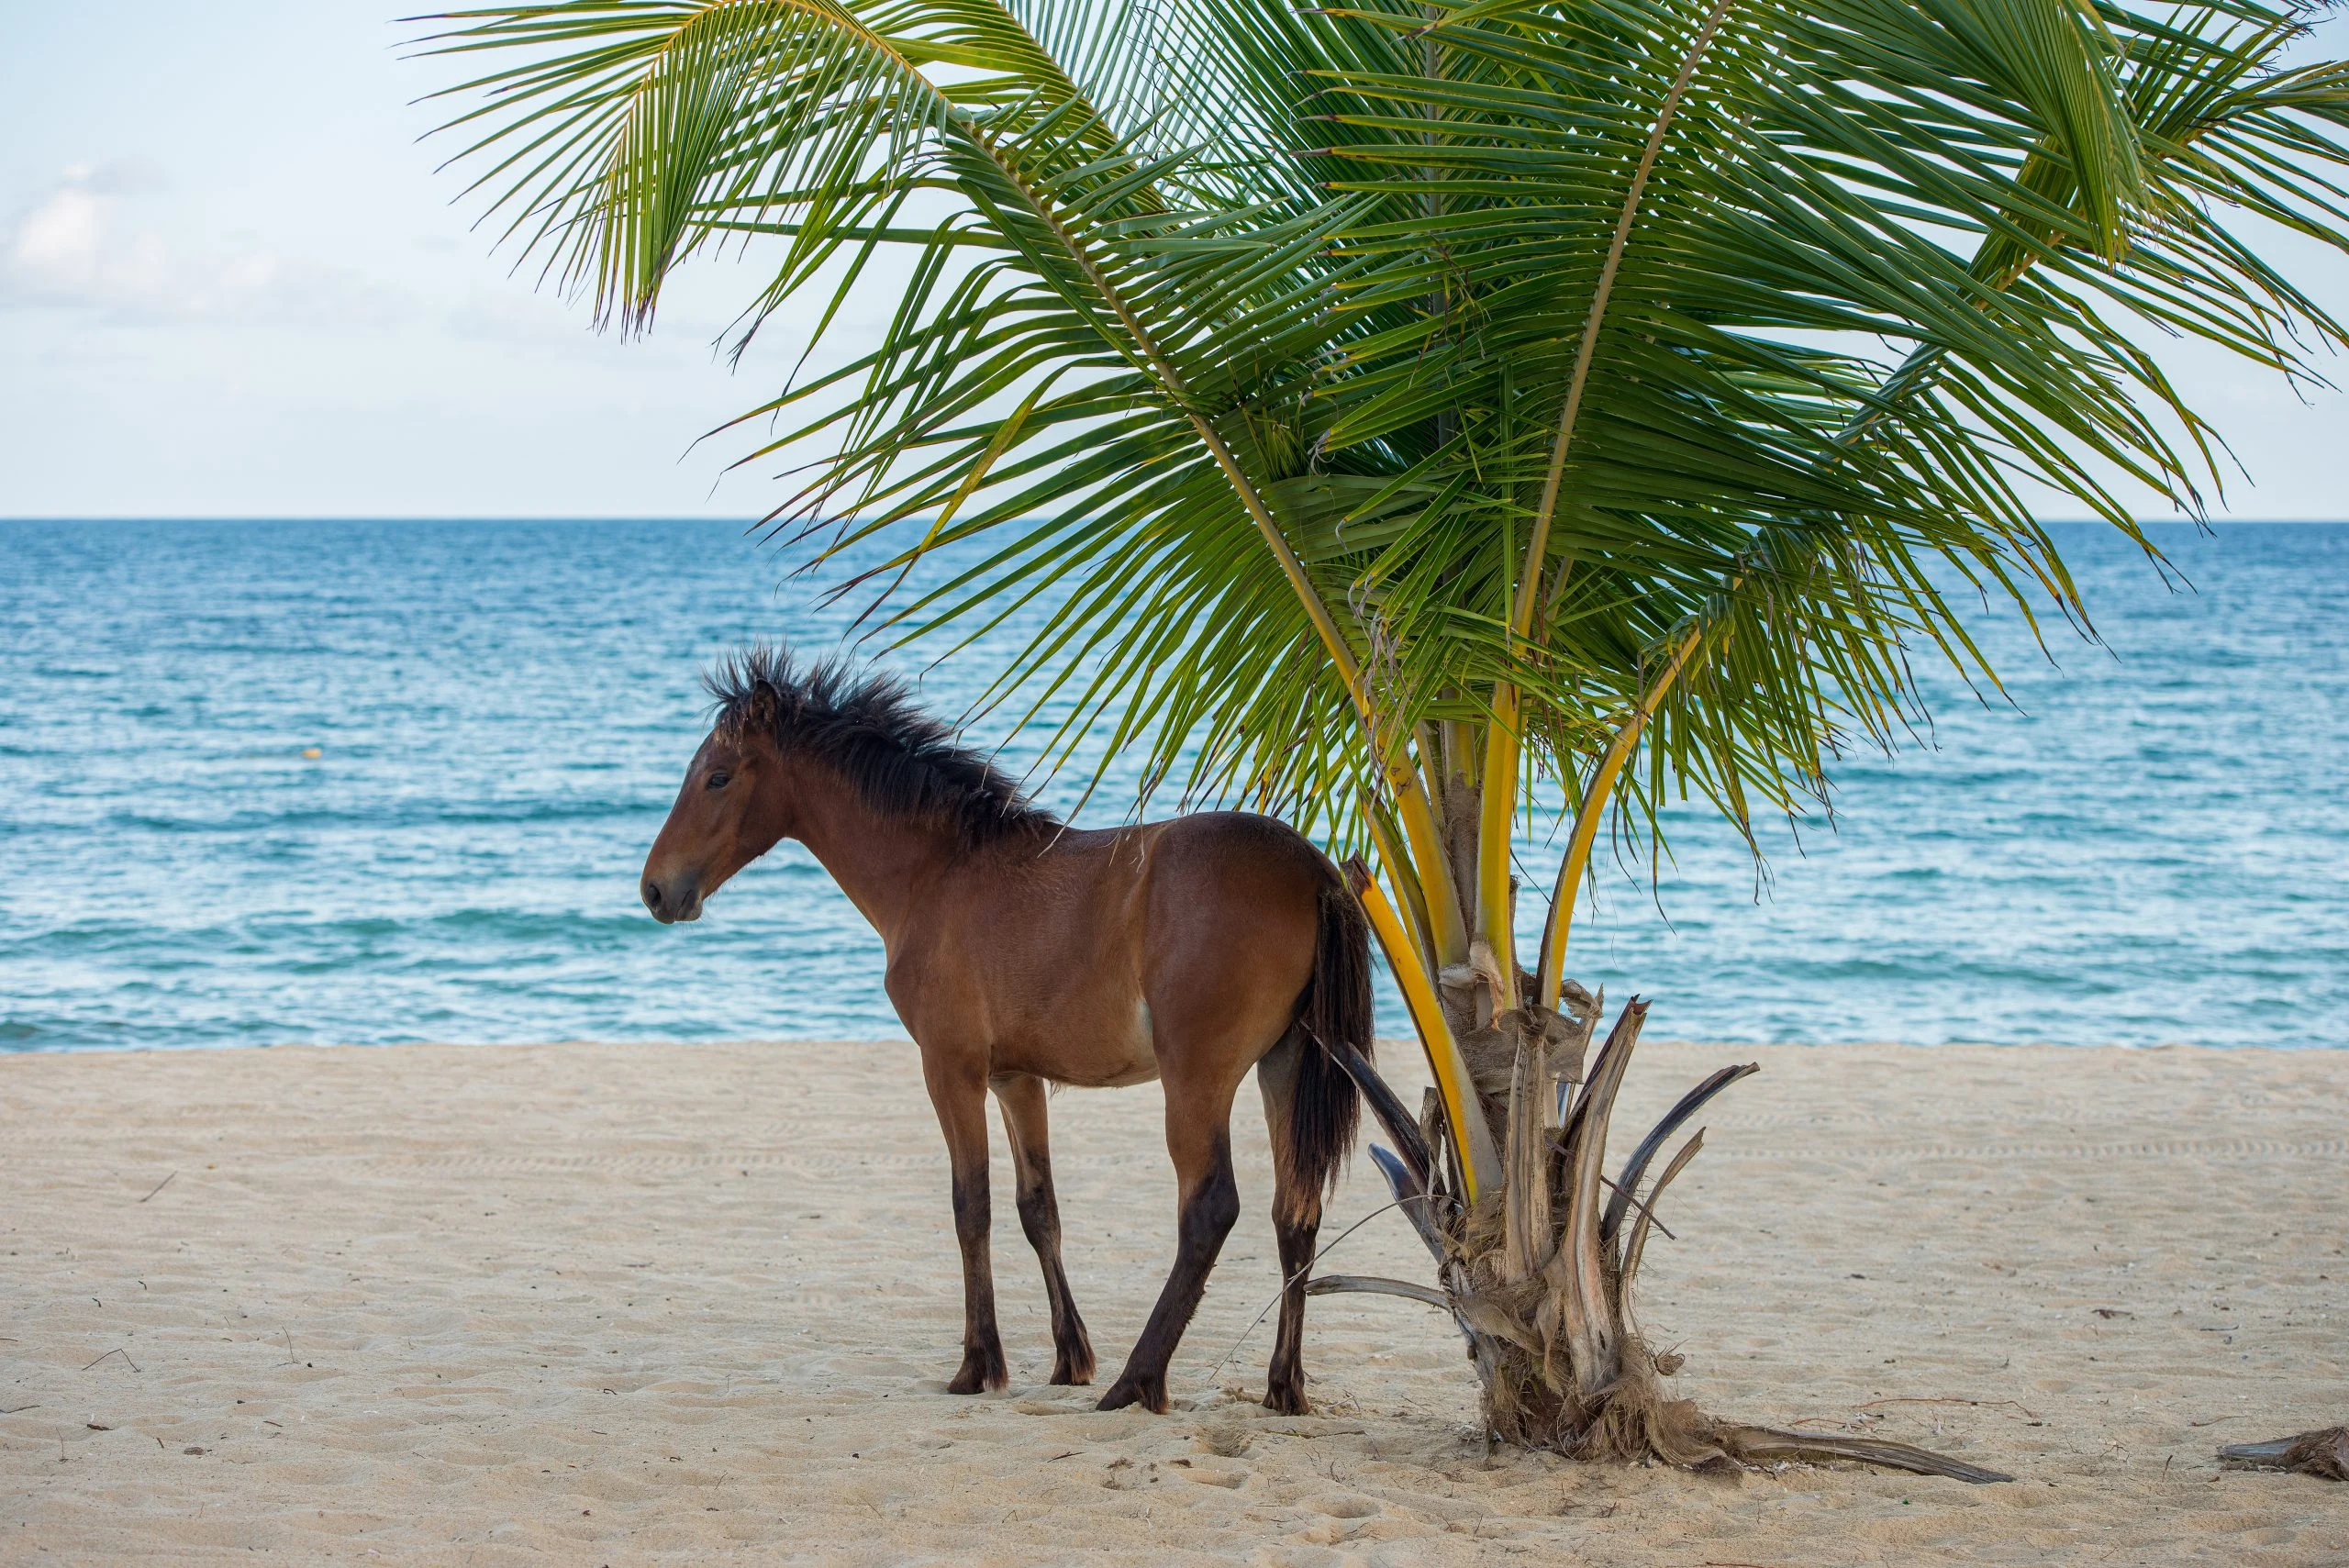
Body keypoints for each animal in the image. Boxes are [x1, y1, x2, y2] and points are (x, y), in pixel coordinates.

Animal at [637, 646, 1374, 1415]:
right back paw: (1282, 1385)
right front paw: (1069, 1355)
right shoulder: (1015, 1078)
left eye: (718, 776)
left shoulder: (950, 1068)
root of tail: (1314, 869)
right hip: (1286, 1064)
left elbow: (972, 1205)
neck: (939, 871)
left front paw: (978, 1362)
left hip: (1197, 1078)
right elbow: (1036, 1208)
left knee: (1210, 1209)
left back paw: (1137, 1380)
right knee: (1296, 1213)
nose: (656, 889)